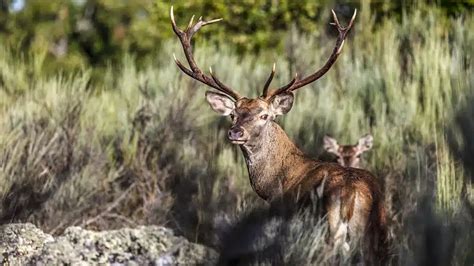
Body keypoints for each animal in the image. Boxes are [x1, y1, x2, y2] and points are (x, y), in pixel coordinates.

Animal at [172, 6, 386, 262]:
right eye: (233, 114)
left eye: (265, 115)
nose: (235, 132)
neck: (272, 185)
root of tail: (352, 196)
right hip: (379, 233)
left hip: (329, 229)